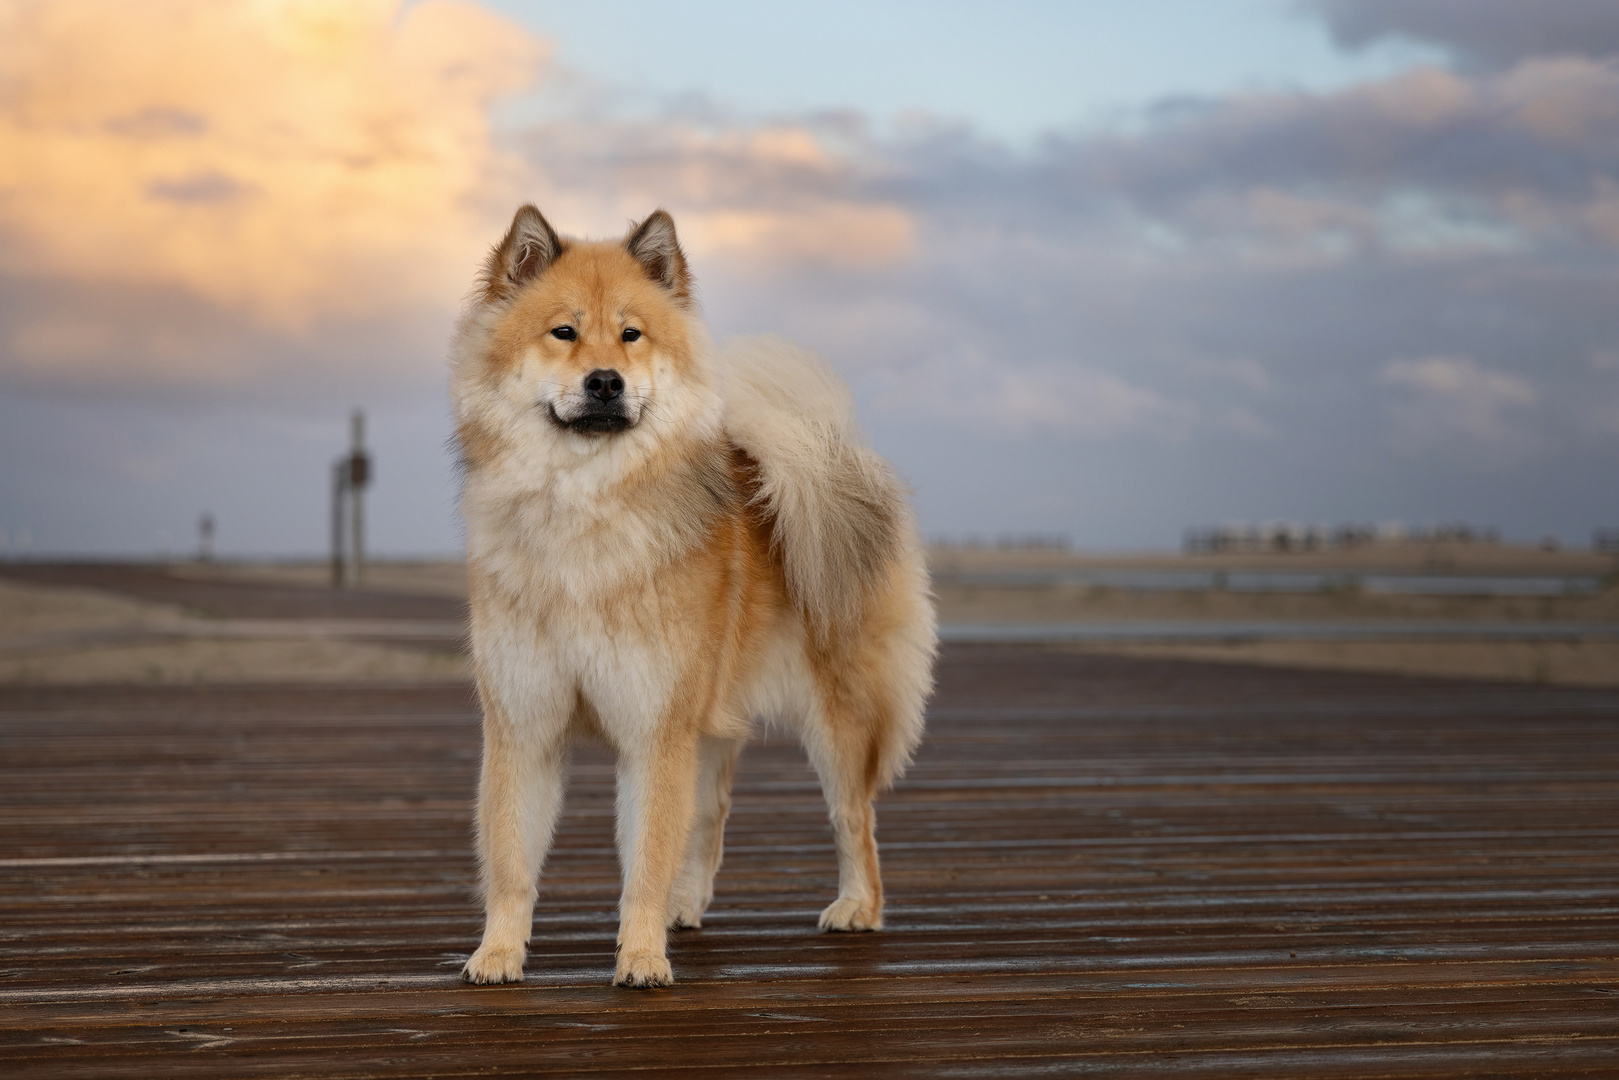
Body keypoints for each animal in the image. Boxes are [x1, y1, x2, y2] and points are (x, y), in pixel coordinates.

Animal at [453, 204, 939, 990]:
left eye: (630, 334)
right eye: (563, 332)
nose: (605, 382)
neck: (584, 509)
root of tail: (838, 464)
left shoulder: (655, 731)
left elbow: (645, 857)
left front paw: (641, 957)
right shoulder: (526, 724)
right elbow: (511, 856)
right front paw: (498, 953)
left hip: (834, 719)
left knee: (852, 817)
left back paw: (857, 907)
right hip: (708, 722)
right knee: (710, 818)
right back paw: (687, 906)